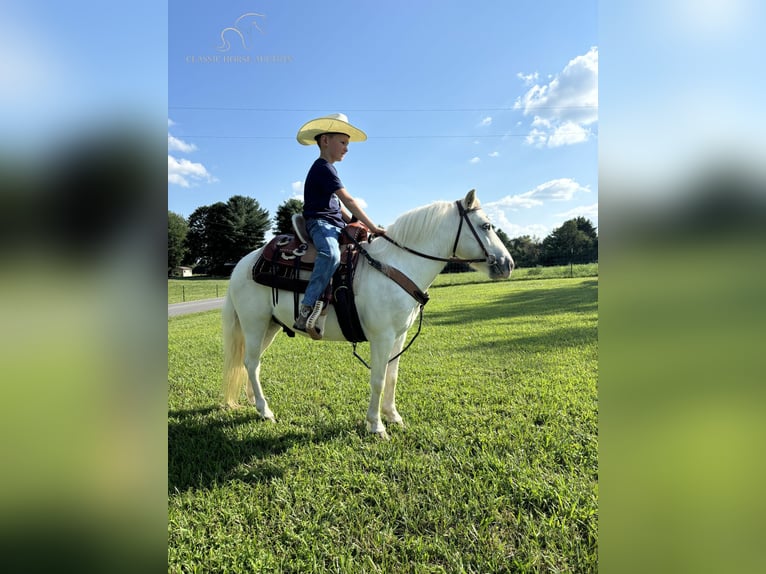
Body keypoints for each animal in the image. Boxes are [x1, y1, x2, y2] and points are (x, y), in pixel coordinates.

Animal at [222, 191, 512, 438]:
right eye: (486, 226)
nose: (507, 264)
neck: (394, 266)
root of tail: (241, 265)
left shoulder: (398, 336)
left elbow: (392, 377)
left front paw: (393, 416)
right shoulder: (381, 337)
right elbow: (378, 379)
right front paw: (376, 425)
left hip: (270, 326)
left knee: (252, 364)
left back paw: (255, 403)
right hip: (254, 323)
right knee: (251, 363)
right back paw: (265, 410)